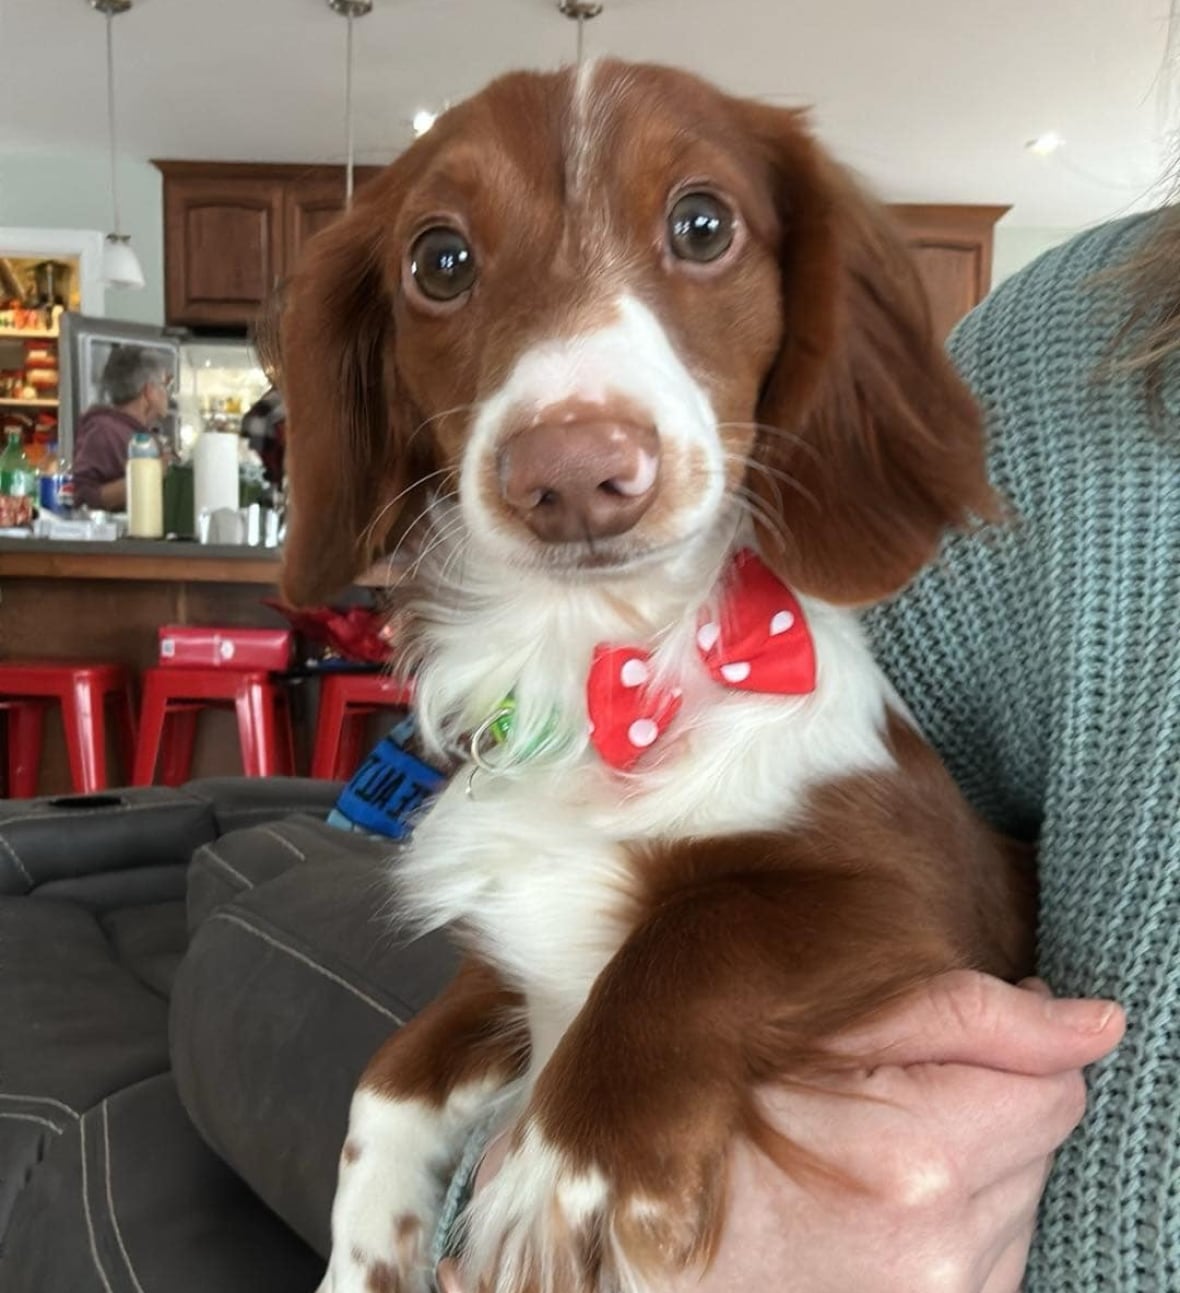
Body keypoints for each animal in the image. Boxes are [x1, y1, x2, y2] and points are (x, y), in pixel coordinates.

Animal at [276, 58, 1033, 1293]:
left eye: (703, 224)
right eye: (439, 260)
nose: (574, 473)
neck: (598, 665)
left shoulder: (928, 898)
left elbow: (694, 935)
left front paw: (565, 1188)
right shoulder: (512, 957)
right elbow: (385, 1080)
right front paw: (363, 1253)